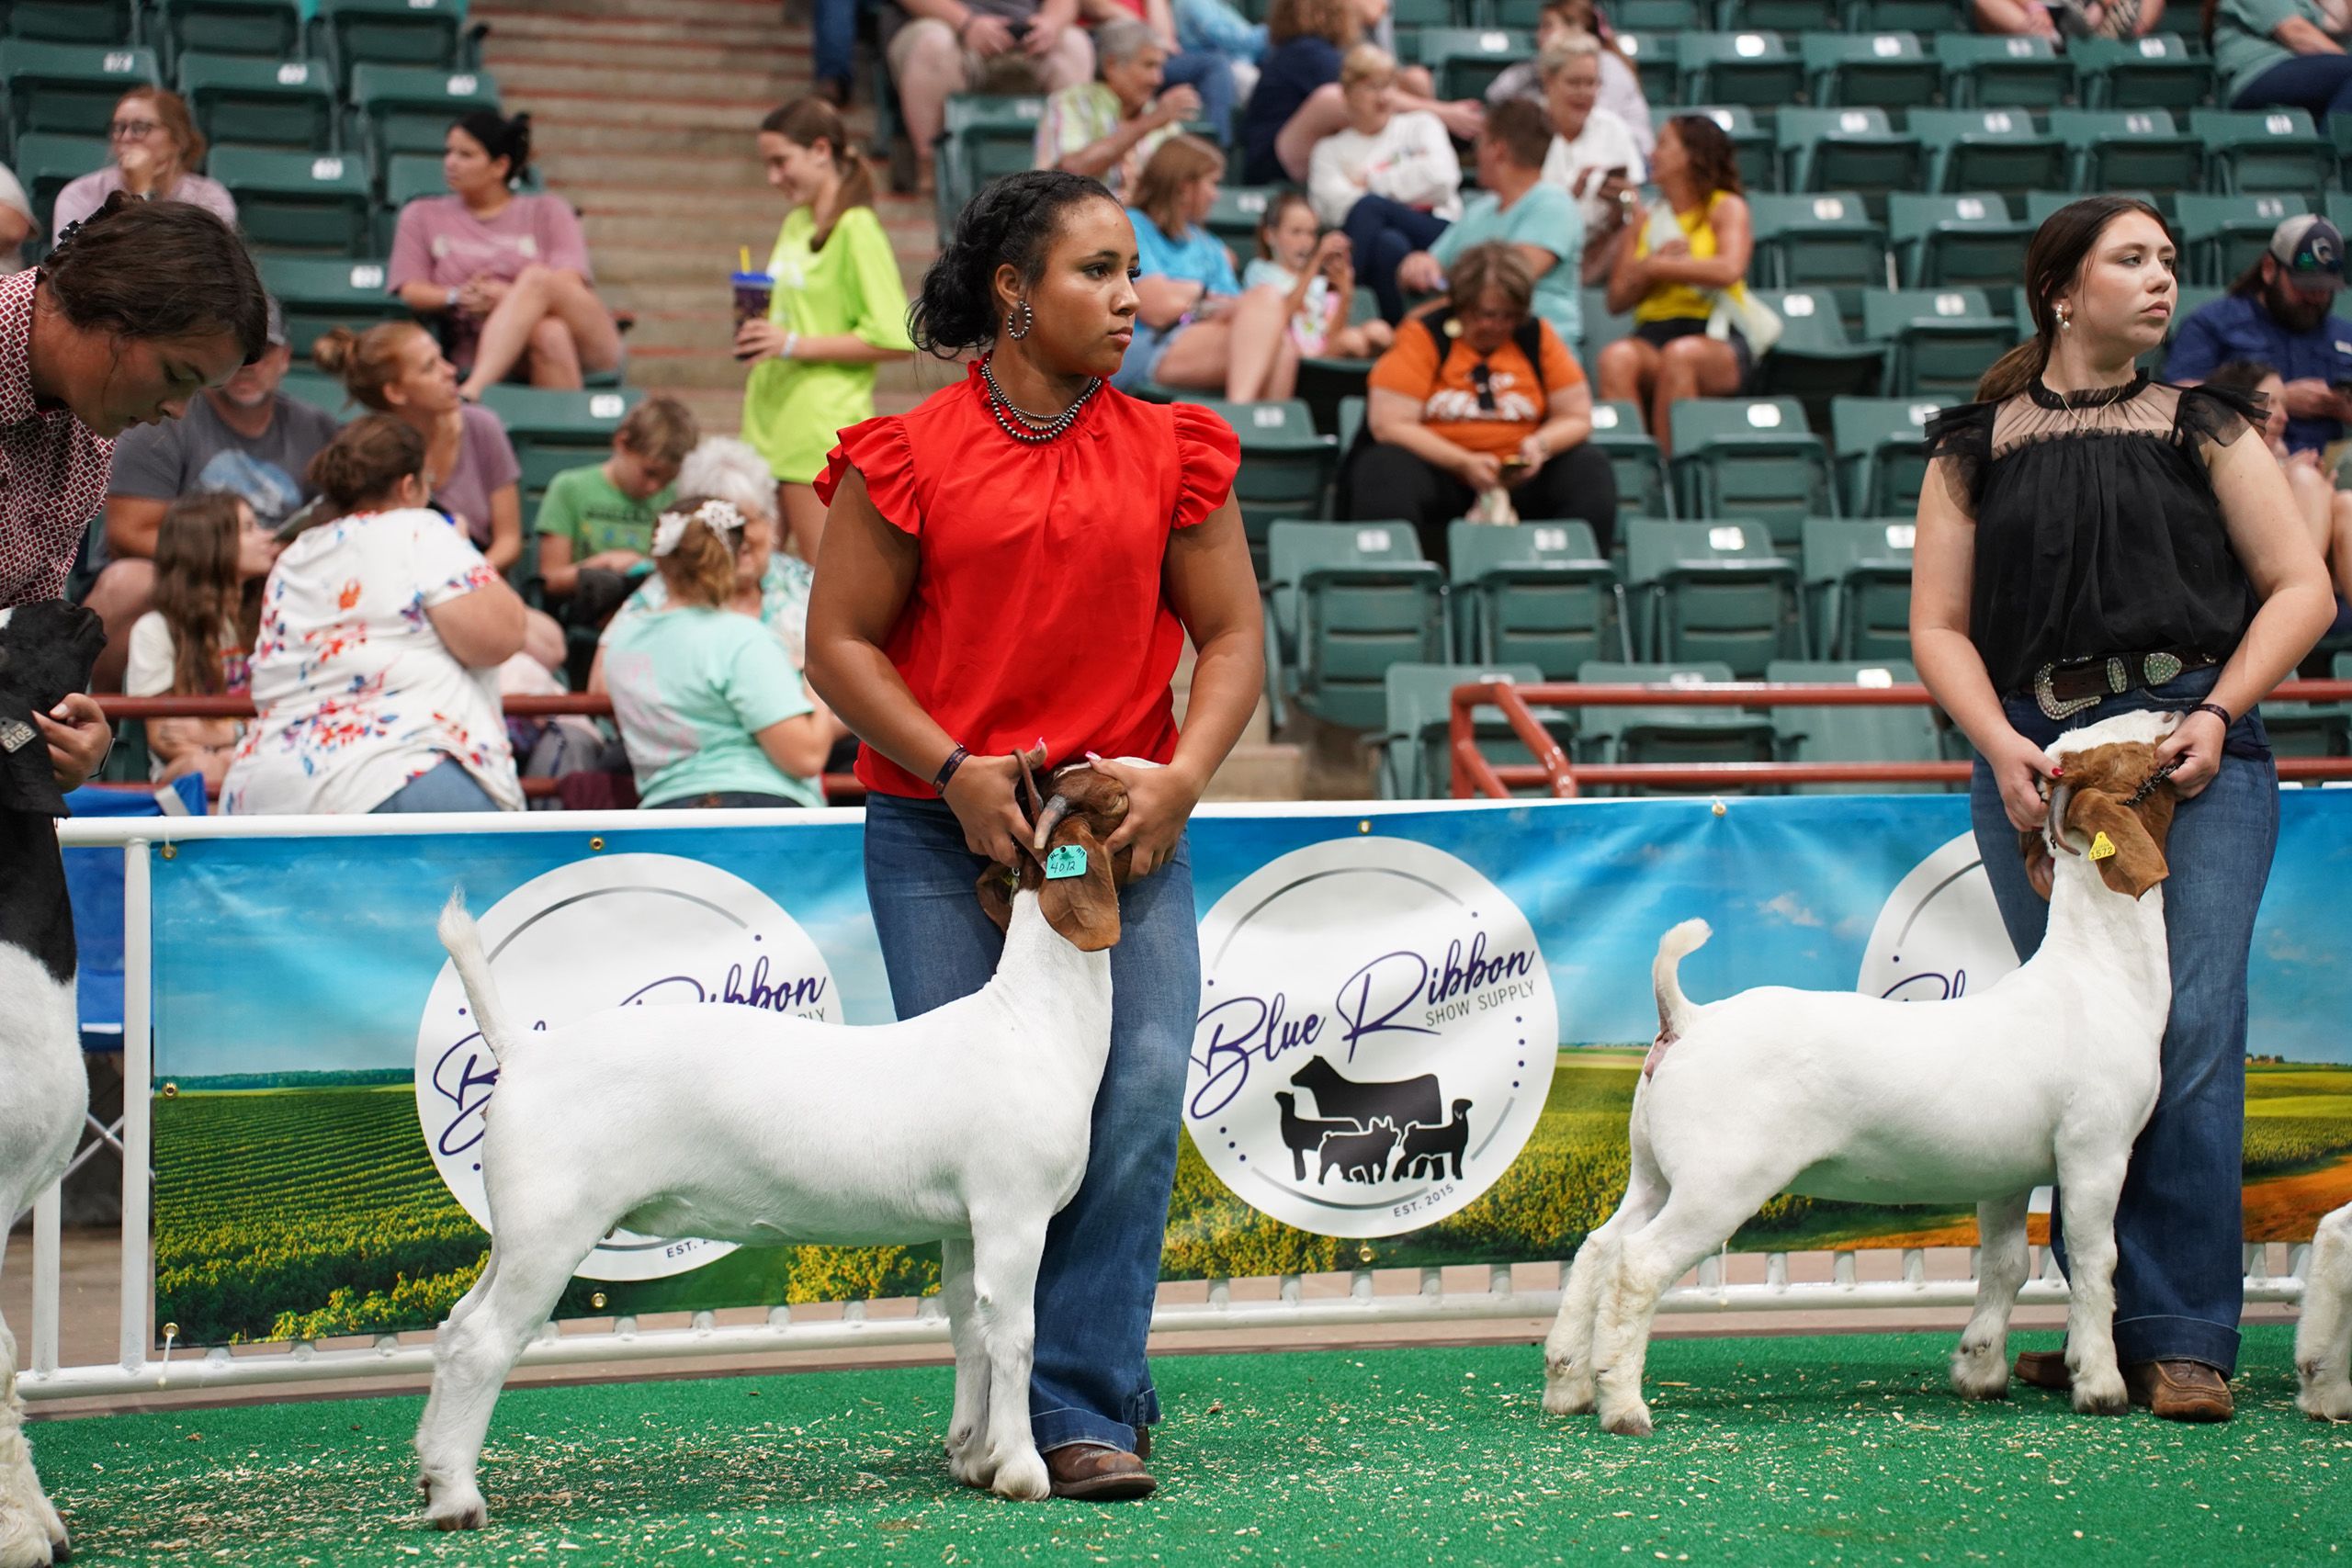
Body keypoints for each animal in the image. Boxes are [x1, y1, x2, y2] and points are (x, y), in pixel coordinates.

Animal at [413, 764, 1134, 1527]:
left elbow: (971, 1328)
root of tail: (524, 1049)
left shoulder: (966, 1225)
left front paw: (972, 1455)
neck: (1029, 1020)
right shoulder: (1013, 1213)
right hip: (552, 1228)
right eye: (1107, 793)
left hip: (517, 1228)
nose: (1140, 778)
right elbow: (1017, 1335)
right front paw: (1021, 1468)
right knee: (485, 1341)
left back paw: (434, 1472)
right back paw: (458, 1499)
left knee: (457, 1325)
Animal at [1543, 709, 2181, 1436]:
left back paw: (1567, 1383)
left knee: (1598, 1247)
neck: (2094, 972)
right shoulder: (2095, 1152)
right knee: (1638, 1264)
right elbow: (2099, 1263)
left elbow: (2006, 1264)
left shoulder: (2005, 1173)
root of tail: (1689, 1018)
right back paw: (1623, 1403)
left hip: (1654, 1173)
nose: (2170, 713)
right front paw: (2099, 1383)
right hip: (1718, 1184)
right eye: (2123, 752)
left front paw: (1980, 1369)